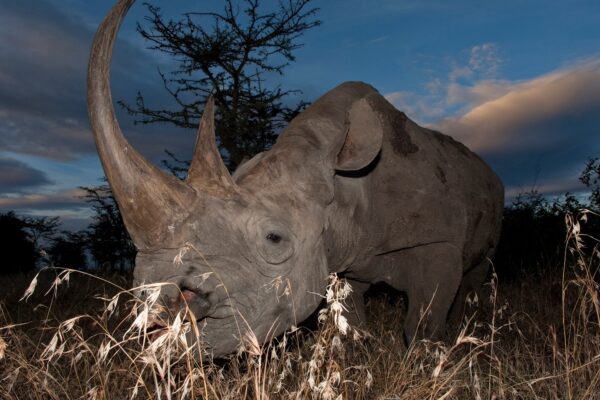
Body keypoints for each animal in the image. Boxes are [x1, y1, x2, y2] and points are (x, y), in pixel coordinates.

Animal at [89, 0, 502, 356]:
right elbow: (352, 319)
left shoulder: (438, 241)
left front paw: (424, 357)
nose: (160, 308)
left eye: (274, 239)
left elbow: (423, 321)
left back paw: (465, 324)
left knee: (476, 272)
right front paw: (362, 352)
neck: (345, 185)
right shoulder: (340, 260)